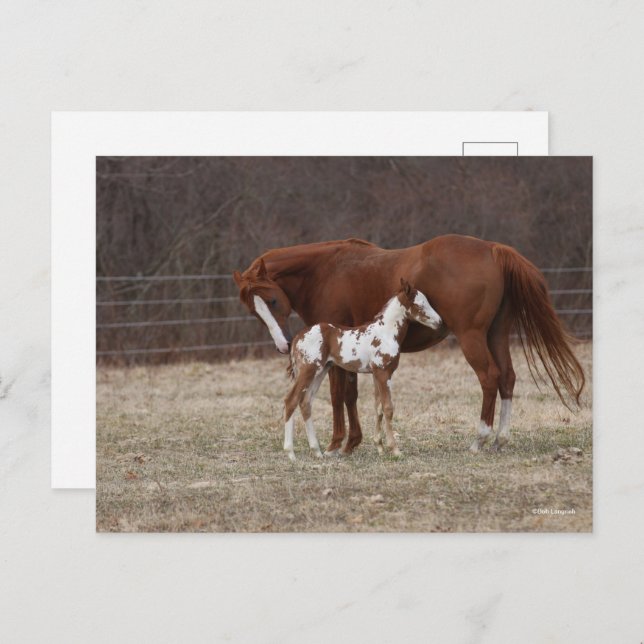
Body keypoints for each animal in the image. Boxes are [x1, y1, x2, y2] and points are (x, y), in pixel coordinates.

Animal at [283, 279, 442, 461]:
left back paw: (317, 451)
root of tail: (297, 337)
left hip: (320, 371)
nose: (439, 322)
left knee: (306, 402)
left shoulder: (377, 375)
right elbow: (388, 408)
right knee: (291, 401)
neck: (385, 333)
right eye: (420, 304)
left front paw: (379, 447)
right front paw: (394, 450)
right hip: (308, 370)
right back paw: (291, 453)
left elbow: (378, 408)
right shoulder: (383, 373)